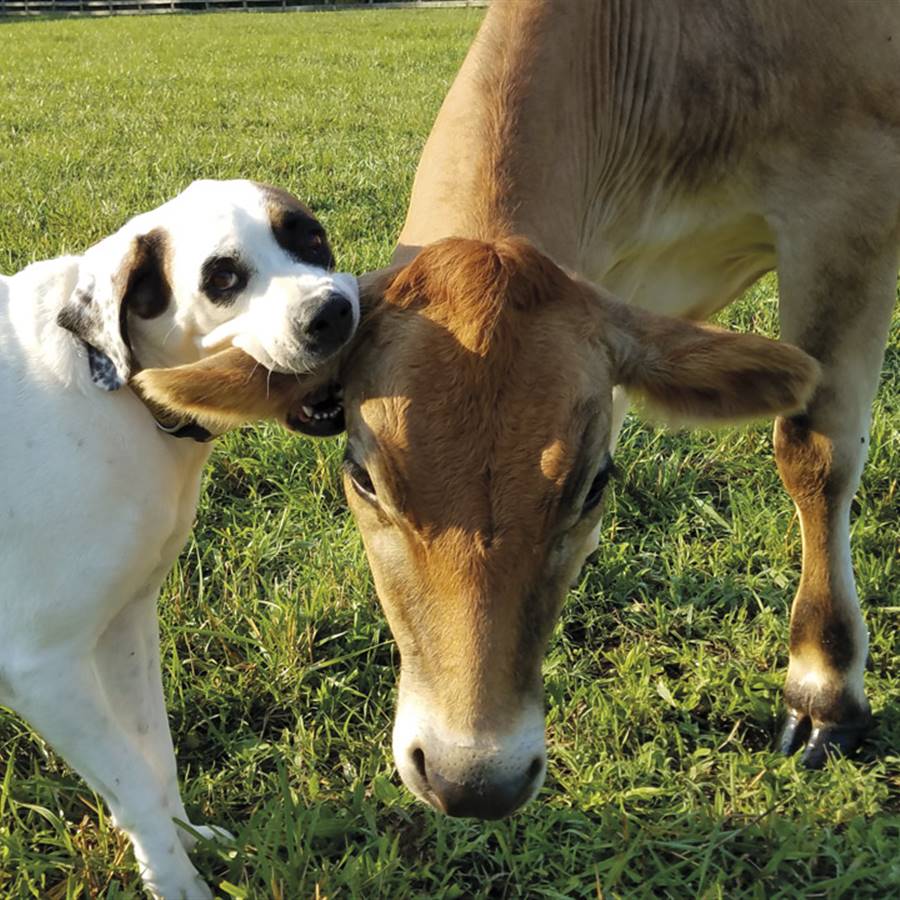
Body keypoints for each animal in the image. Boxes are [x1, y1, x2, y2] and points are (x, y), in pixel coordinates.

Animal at [0, 178, 358, 900]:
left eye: (309, 237)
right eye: (222, 279)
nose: (332, 313)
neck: (115, 393)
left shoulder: (126, 620)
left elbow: (153, 756)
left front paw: (187, 840)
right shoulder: (41, 668)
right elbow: (132, 780)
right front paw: (175, 879)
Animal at [141, 0, 900, 824]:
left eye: (594, 484)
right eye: (365, 478)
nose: (472, 777)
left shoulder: (849, 207)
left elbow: (815, 450)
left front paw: (824, 688)